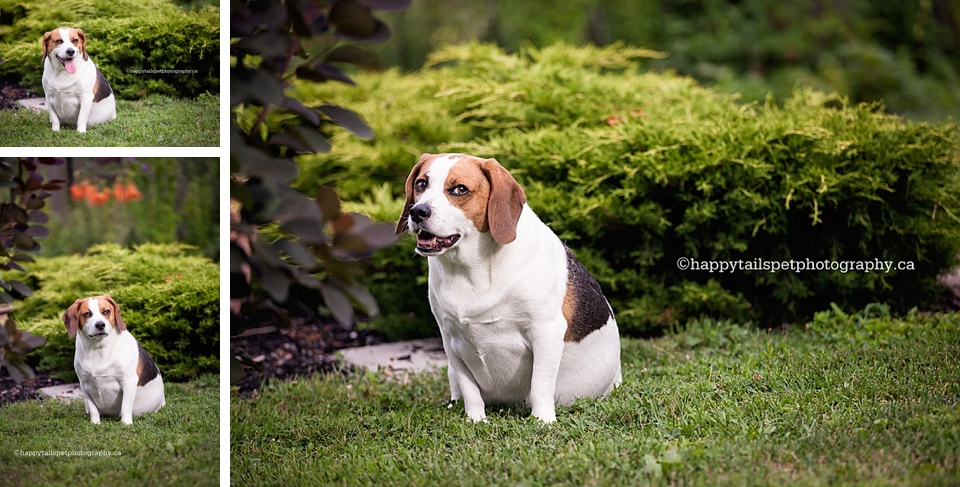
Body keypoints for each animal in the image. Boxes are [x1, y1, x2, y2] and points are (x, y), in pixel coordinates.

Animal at [62, 296, 164, 426]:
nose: (100, 325)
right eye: (87, 314)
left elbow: (125, 406)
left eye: (106, 311)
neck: (98, 348)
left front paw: (126, 424)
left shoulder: (128, 381)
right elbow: (93, 408)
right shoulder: (84, 384)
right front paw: (95, 423)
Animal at [396, 153, 624, 424]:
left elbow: (539, 386)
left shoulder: (545, 331)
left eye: (460, 189)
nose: (417, 211)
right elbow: (470, 390)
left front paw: (542, 421)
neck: (472, 270)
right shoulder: (450, 339)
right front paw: (476, 420)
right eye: (421, 184)